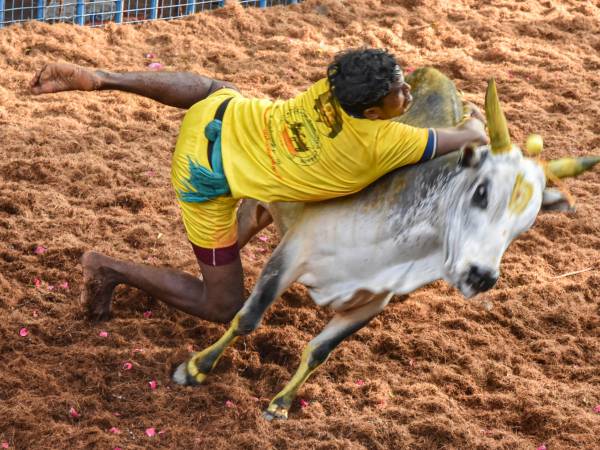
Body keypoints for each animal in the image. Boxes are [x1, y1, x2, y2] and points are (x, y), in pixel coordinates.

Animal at [171, 68, 596, 420]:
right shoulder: (291, 255)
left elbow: (320, 350)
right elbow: (247, 317)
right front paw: (195, 369)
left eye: (526, 224)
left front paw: (280, 404)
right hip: (256, 208)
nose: (481, 276)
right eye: (481, 191)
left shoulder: (372, 301)